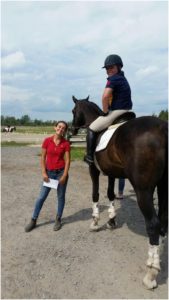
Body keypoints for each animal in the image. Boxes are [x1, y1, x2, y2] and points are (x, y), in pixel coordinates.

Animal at [71, 95, 168, 288]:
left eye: (73, 111)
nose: (71, 128)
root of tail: (164, 129)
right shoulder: (111, 172)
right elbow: (110, 194)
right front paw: (111, 221)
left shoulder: (94, 169)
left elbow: (95, 194)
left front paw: (95, 222)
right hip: (163, 186)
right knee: (163, 221)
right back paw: (158, 258)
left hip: (143, 190)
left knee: (153, 224)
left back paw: (151, 273)